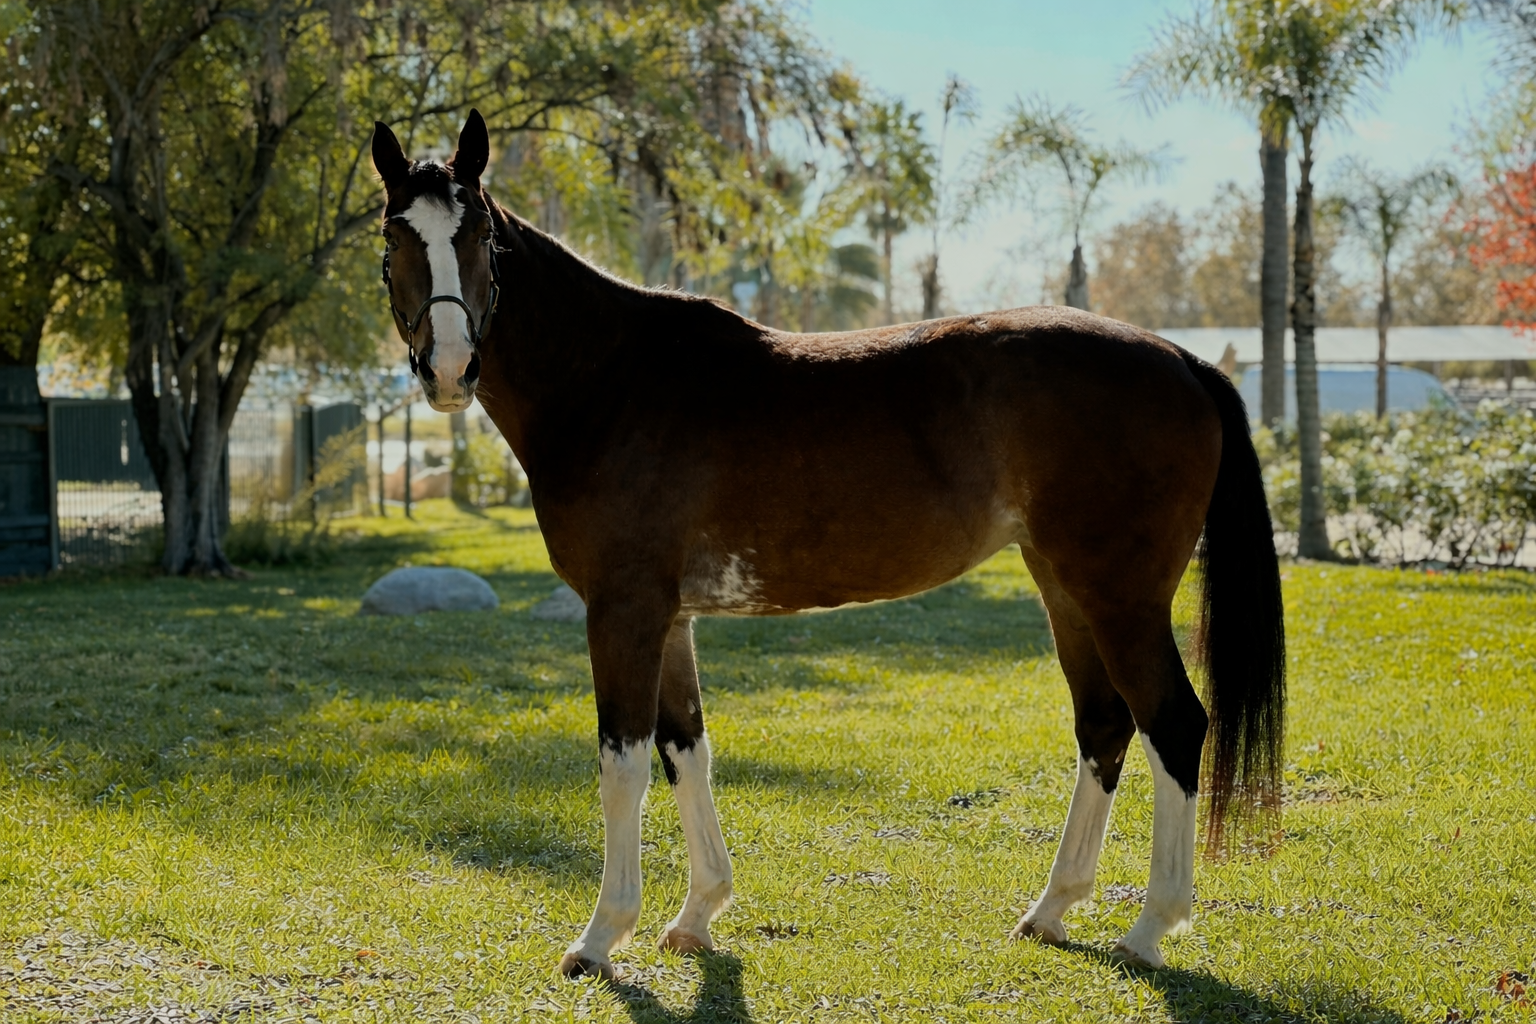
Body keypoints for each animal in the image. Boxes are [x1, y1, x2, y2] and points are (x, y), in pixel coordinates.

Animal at [370, 110, 1286, 980]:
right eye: (393, 241)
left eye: (481, 237)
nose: (449, 369)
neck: (613, 383)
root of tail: (1181, 359)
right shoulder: (671, 617)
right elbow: (686, 749)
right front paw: (697, 915)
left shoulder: (623, 610)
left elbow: (622, 765)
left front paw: (600, 938)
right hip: (1065, 588)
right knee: (1103, 725)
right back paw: (1053, 910)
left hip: (1120, 596)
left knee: (1175, 724)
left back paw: (1151, 928)